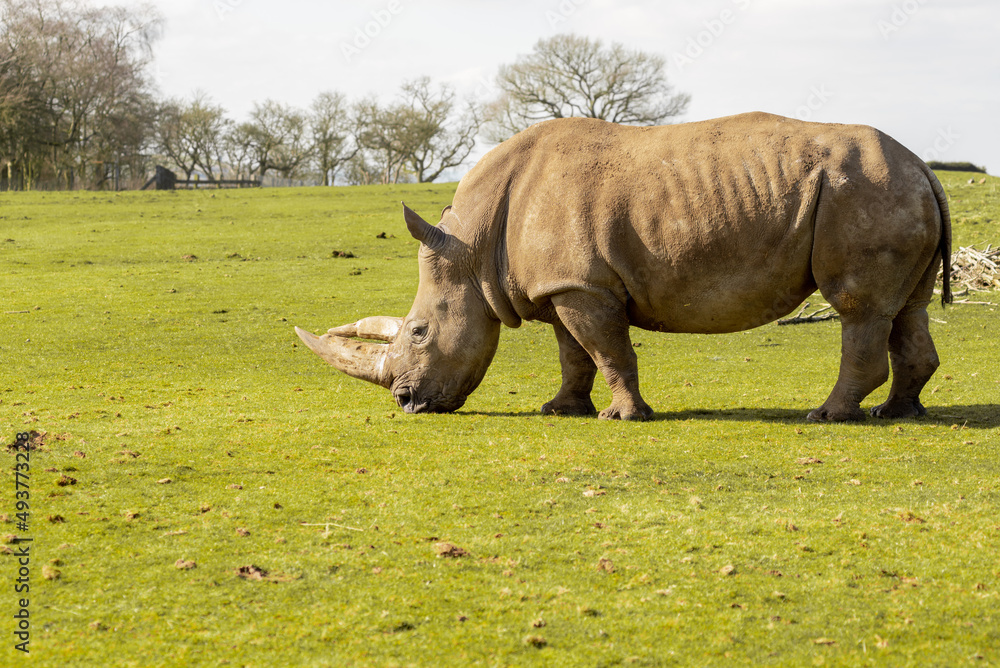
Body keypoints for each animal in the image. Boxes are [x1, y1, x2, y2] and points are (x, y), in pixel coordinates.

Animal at [296, 112, 952, 422]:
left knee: (859, 308)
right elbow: (574, 353)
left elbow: (608, 350)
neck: (472, 249)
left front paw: (624, 417)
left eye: (418, 332)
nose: (406, 401)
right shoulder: (563, 285)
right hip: (890, 190)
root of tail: (924, 164)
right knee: (907, 308)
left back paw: (828, 417)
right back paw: (896, 413)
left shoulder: (582, 286)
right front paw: (560, 410)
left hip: (863, 192)